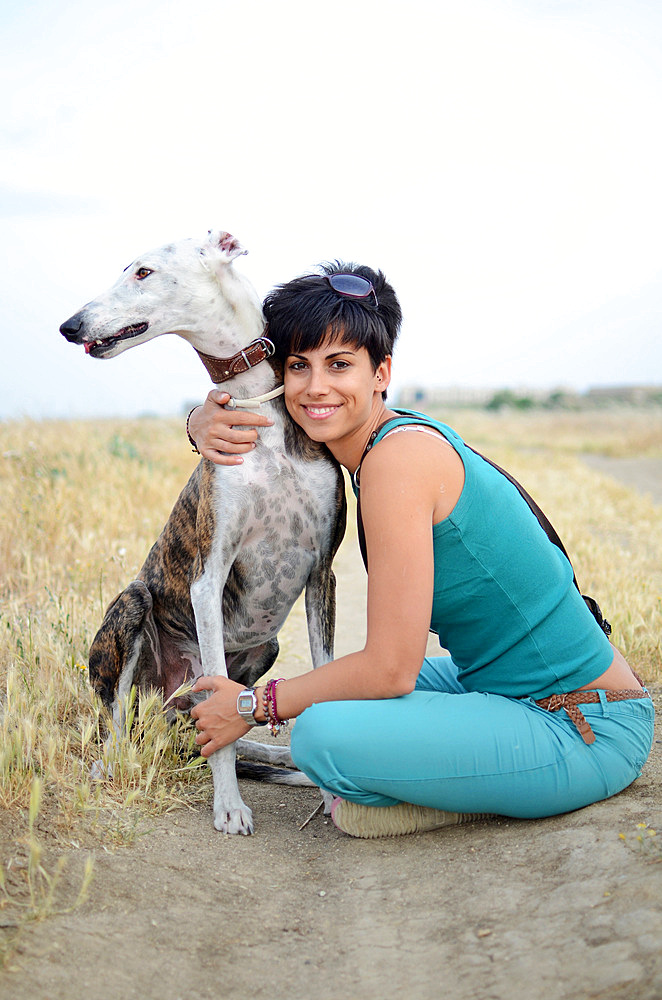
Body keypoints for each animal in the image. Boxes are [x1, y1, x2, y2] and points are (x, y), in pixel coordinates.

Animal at [61, 230, 348, 832]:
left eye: (143, 272)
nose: (71, 326)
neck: (258, 410)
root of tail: (169, 702)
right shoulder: (207, 578)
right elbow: (222, 730)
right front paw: (229, 807)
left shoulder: (323, 576)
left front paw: (330, 793)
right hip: (131, 613)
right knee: (118, 730)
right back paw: (114, 763)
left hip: (262, 648)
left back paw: (276, 756)